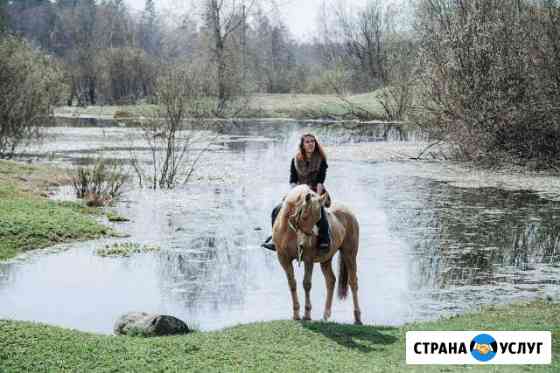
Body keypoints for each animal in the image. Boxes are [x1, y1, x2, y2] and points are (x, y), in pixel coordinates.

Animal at [272, 185, 364, 324]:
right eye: (304, 216)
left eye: (318, 219)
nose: (305, 244)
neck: (290, 232)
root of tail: (349, 212)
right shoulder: (284, 259)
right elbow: (292, 283)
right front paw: (296, 314)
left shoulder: (308, 259)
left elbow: (306, 284)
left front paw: (307, 315)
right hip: (326, 259)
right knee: (331, 280)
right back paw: (326, 315)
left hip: (349, 253)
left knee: (353, 282)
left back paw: (357, 318)